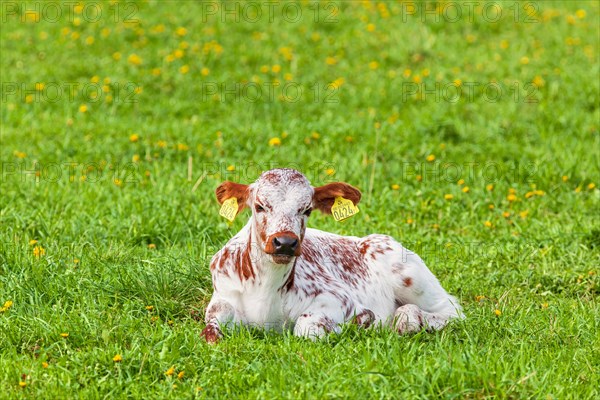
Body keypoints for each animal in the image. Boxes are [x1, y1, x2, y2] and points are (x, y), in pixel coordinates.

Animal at [202, 167, 464, 342]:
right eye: (260, 206)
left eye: (307, 209)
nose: (285, 243)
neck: (266, 288)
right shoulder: (222, 293)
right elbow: (211, 326)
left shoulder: (338, 298)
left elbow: (305, 328)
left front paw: (359, 322)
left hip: (409, 275)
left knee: (451, 310)